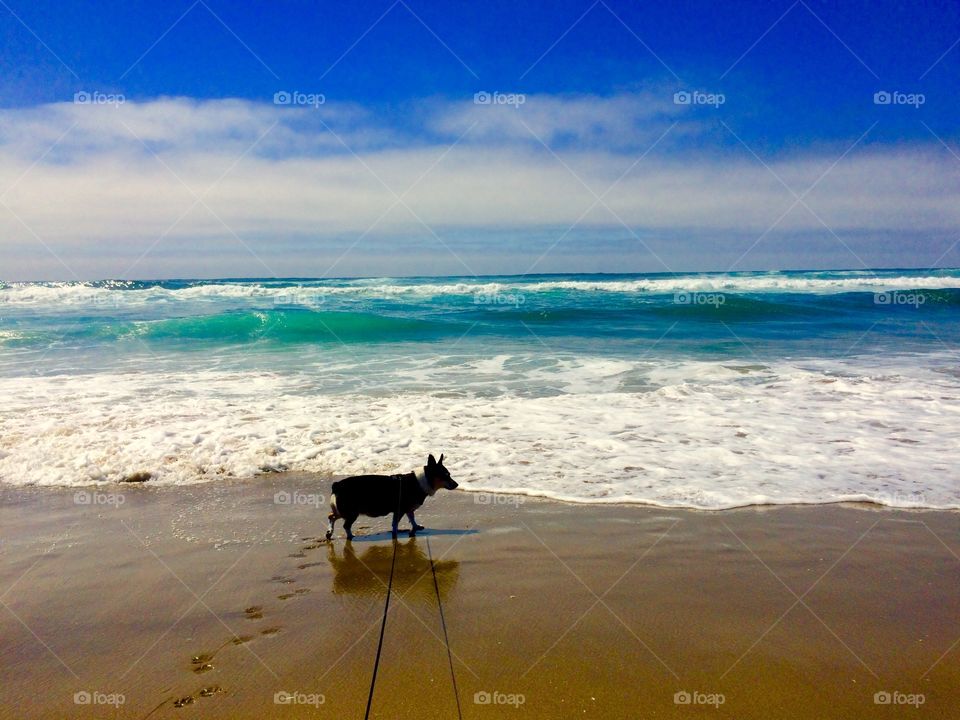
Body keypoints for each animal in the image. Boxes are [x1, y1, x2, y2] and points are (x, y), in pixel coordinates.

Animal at [326, 456, 458, 540]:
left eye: (449, 474)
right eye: (445, 475)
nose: (457, 484)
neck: (420, 482)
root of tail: (337, 485)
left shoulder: (408, 509)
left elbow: (412, 518)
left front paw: (415, 527)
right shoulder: (399, 510)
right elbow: (395, 524)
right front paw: (395, 536)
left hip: (342, 511)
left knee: (331, 516)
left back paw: (329, 532)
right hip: (352, 512)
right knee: (345, 525)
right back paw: (350, 536)